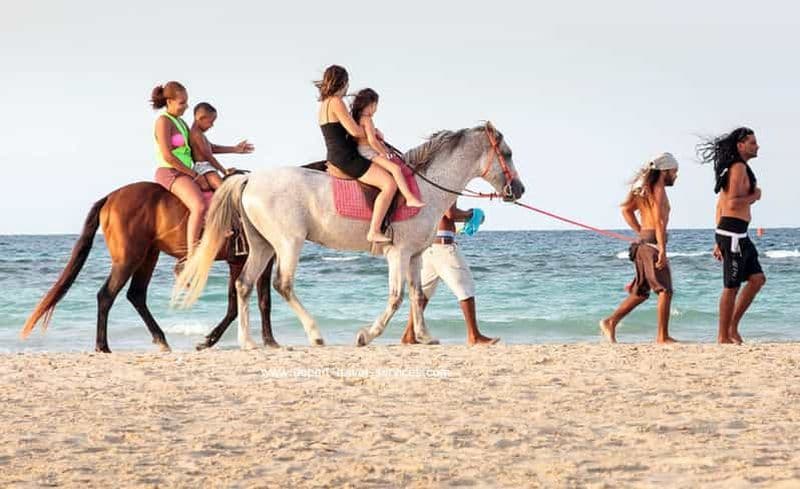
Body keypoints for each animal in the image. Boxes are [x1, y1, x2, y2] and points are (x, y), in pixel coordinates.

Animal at [19, 181, 276, 353]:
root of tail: (110, 197)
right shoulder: (246, 261)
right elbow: (242, 304)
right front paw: (212, 340)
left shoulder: (249, 262)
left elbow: (252, 301)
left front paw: (266, 340)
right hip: (128, 259)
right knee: (106, 295)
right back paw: (103, 346)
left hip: (148, 256)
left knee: (136, 295)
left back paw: (160, 339)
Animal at [173, 122, 524, 349]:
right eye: (507, 153)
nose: (518, 190)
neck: (423, 188)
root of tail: (250, 180)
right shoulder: (397, 254)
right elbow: (397, 296)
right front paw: (367, 335)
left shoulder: (414, 256)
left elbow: (417, 295)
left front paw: (424, 337)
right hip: (288, 243)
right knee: (282, 284)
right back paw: (314, 334)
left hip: (263, 246)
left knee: (244, 285)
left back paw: (247, 342)